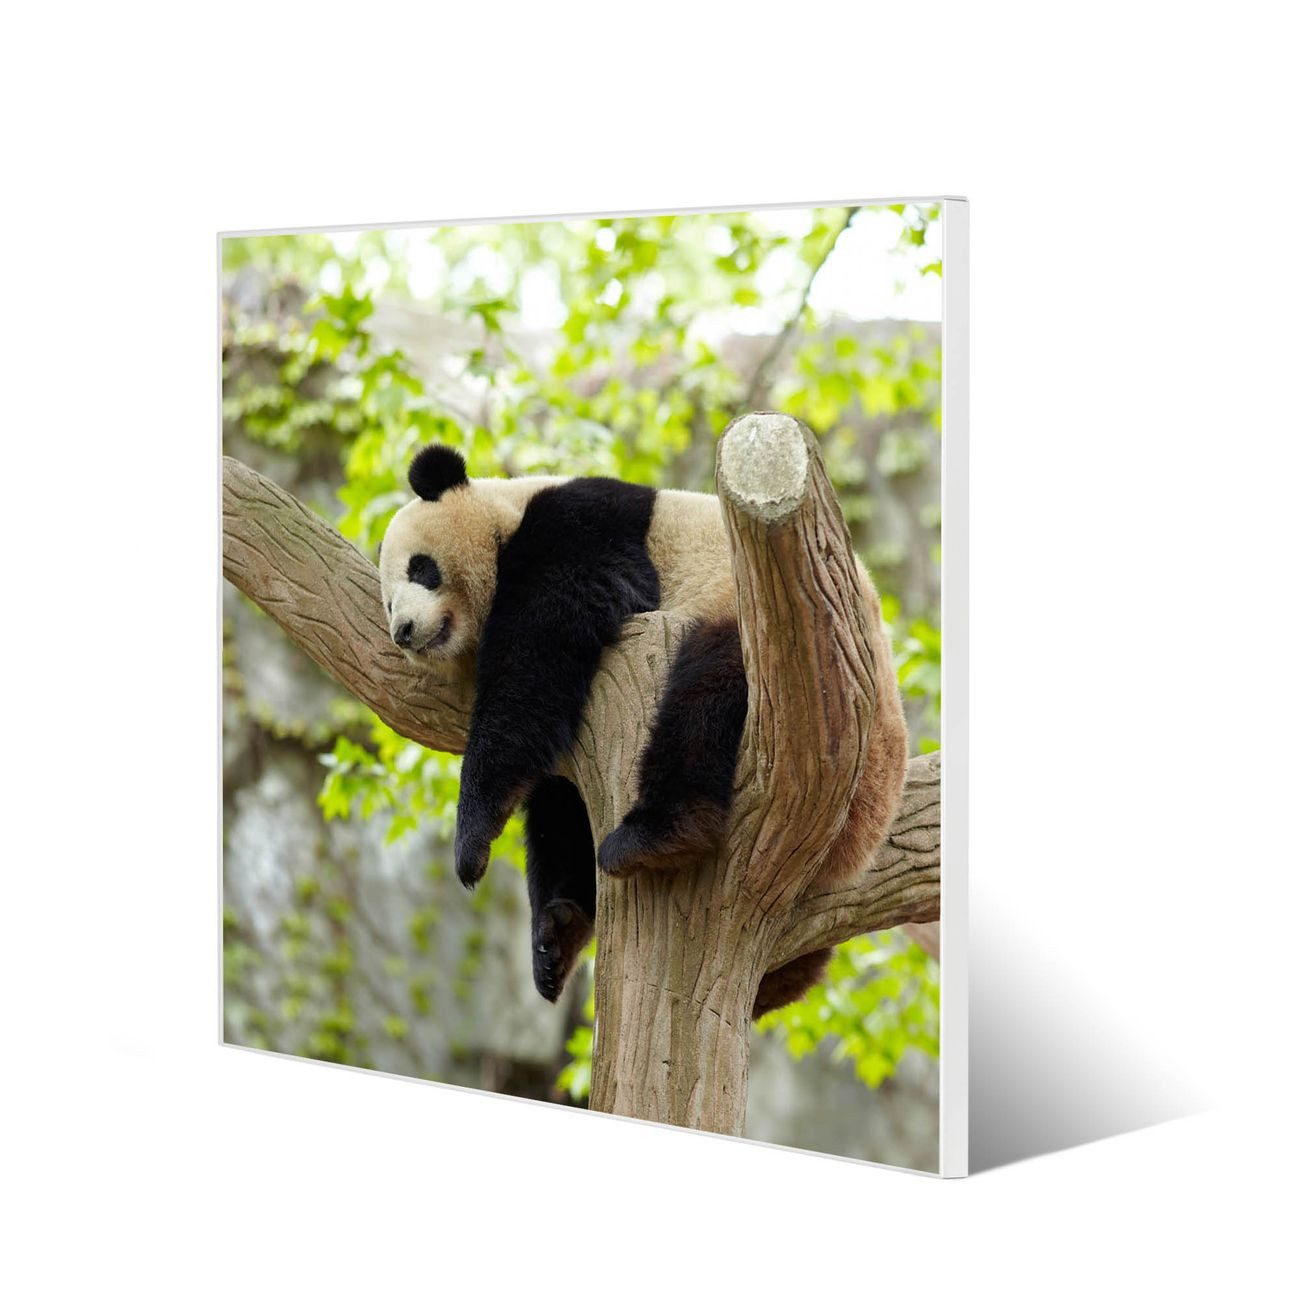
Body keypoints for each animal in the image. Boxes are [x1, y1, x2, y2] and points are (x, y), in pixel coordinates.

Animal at [377, 443, 909, 1018]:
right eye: (387, 602)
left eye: (420, 569)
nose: (403, 631)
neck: (508, 513)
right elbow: (556, 797)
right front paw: (554, 932)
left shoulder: (582, 530)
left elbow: (538, 649)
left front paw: (472, 840)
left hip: (785, 655)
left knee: (706, 694)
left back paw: (657, 836)